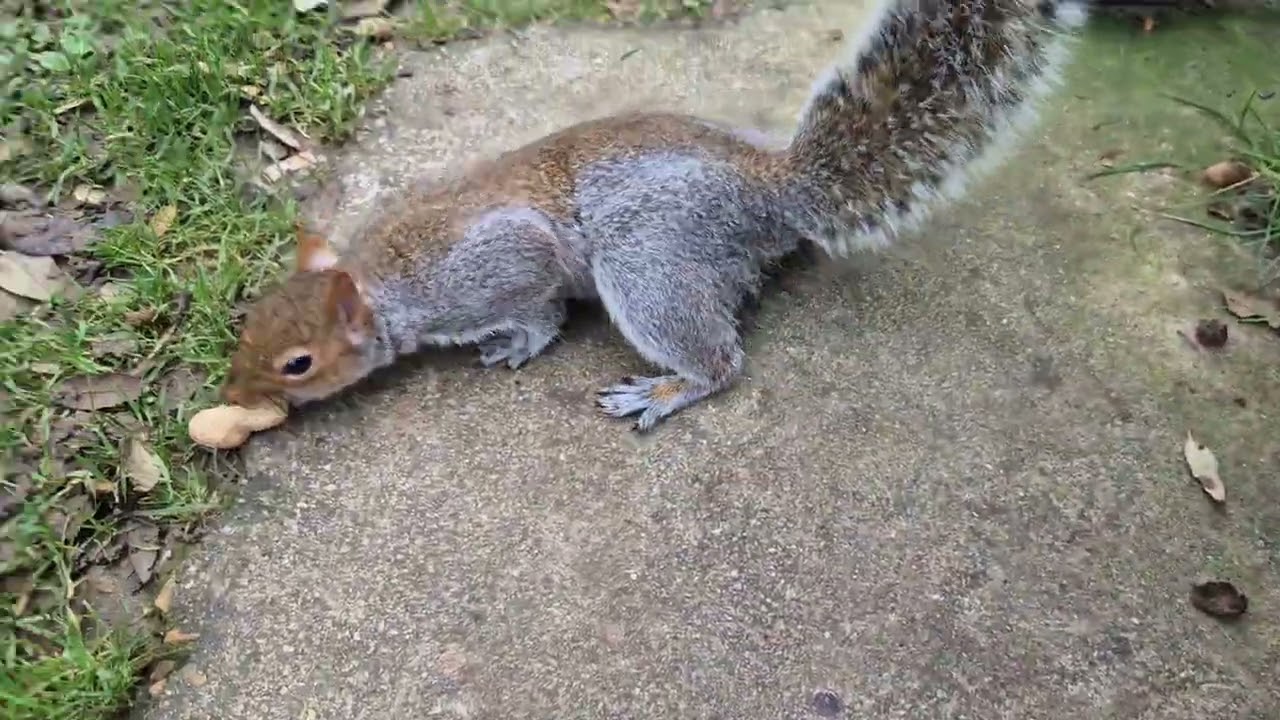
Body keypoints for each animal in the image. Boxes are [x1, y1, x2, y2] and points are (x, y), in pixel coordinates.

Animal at [221, 0, 1091, 432]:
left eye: (298, 363)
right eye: (247, 321)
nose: (235, 397)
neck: (378, 278)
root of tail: (774, 188)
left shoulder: (494, 266)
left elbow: (535, 304)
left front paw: (518, 344)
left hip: (648, 260)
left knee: (721, 362)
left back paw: (668, 391)